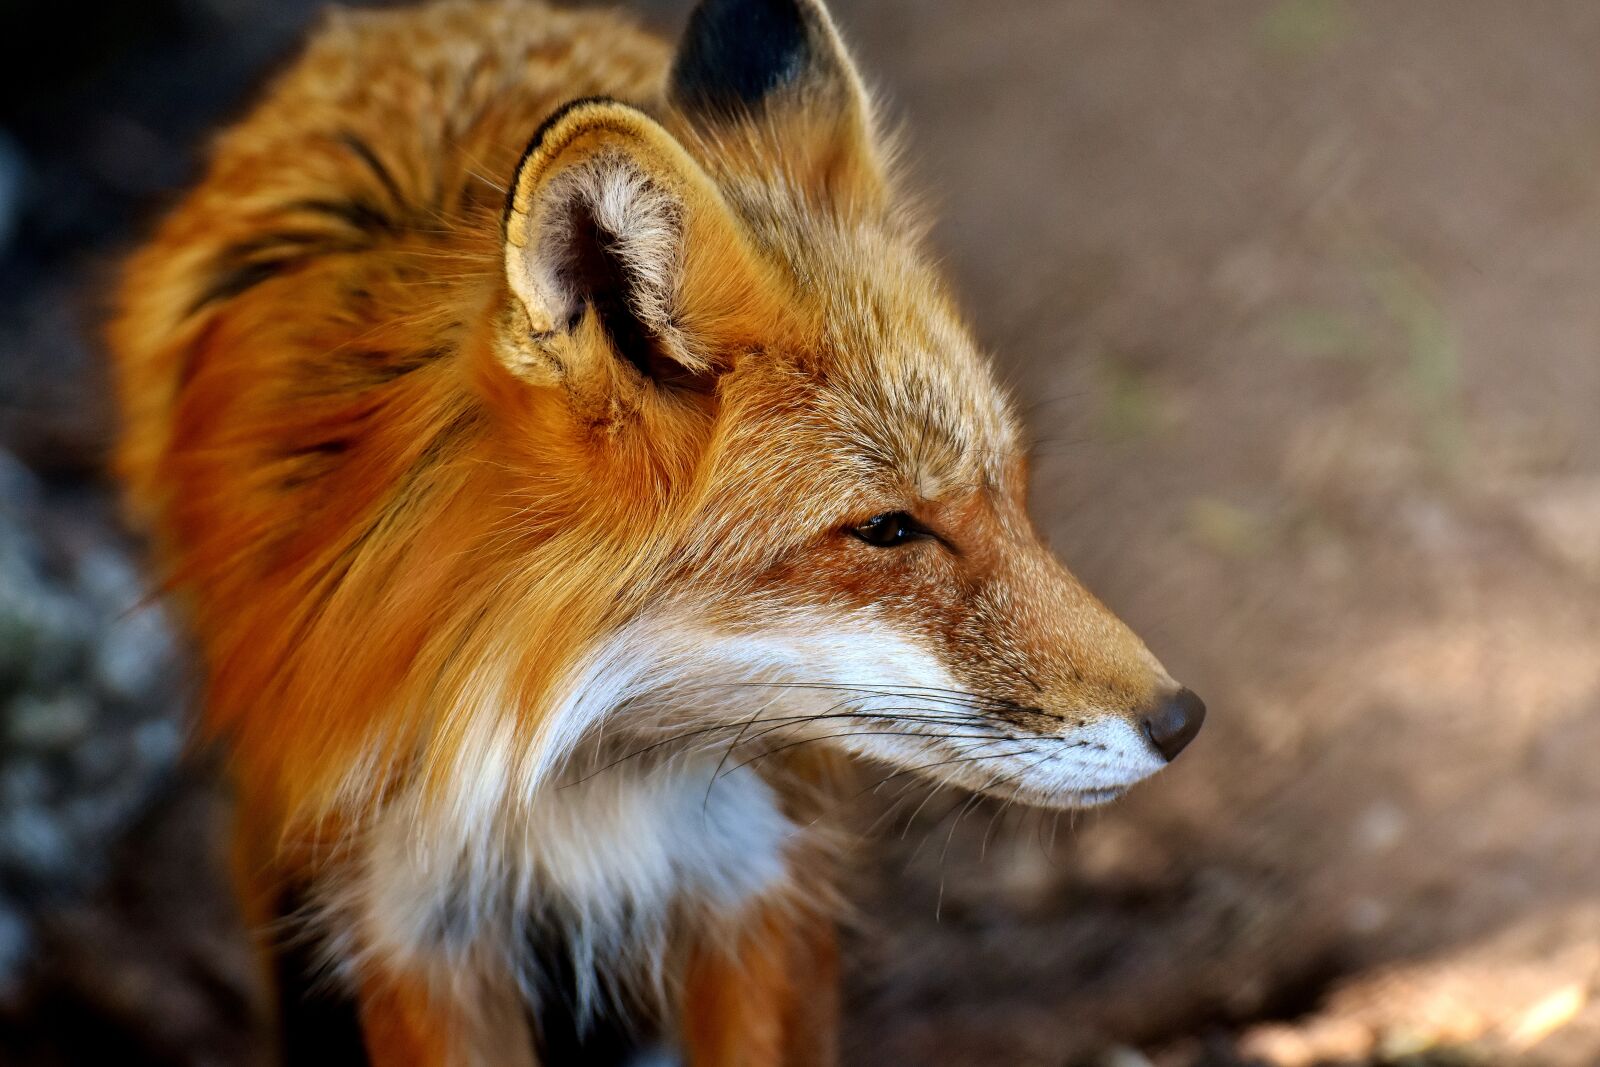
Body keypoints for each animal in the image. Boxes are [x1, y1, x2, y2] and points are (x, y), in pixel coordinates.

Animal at [108, 0, 1206, 1063]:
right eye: (888, 528)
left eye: (1013, 490)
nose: (1181, 719)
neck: (565, 755)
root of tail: (404, 23)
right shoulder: (408, 910)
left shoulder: (752, 864)